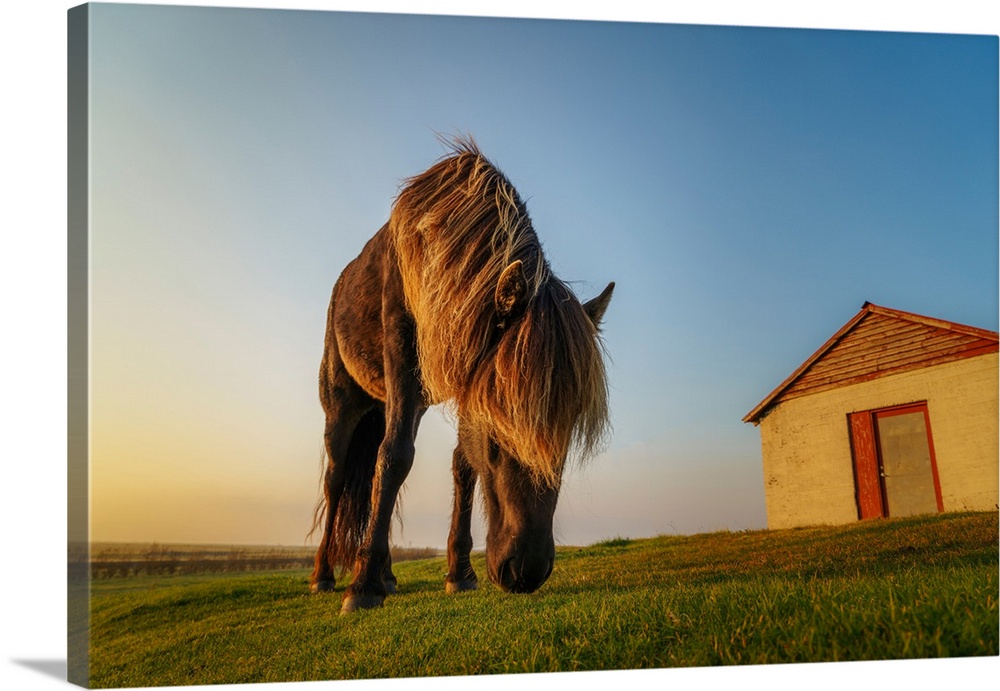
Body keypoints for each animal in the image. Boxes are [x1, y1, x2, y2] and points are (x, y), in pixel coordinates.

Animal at [308, 138, 612, 612]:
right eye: (501, 429)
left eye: (568, 430)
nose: (526, 571)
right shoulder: (403, 354)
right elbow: (394, 457)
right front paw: (362, 588)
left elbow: (459, 465)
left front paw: (459, 574)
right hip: (342, 406)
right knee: (337, 480)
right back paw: (326, 575)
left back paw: (387, 574)